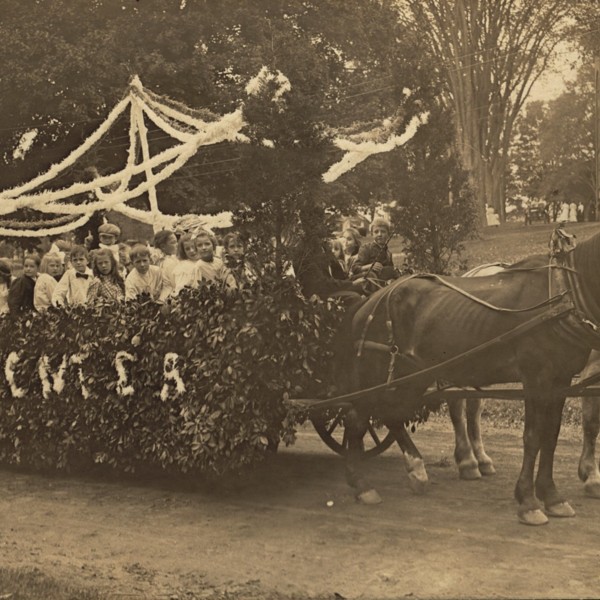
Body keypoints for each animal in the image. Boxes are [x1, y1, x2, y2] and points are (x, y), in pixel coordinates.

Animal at [336, 233, 600, 524]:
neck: (565, 293)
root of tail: (369, 301)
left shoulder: (560, 381)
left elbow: (550, 435)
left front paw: (552, 496)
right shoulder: (536, 379)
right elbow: (533, 437)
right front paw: (528, 502)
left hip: (411, 376)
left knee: (390, 414)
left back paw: (417, 471)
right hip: (375, 374)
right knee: (358, 418)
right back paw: (362, 484)